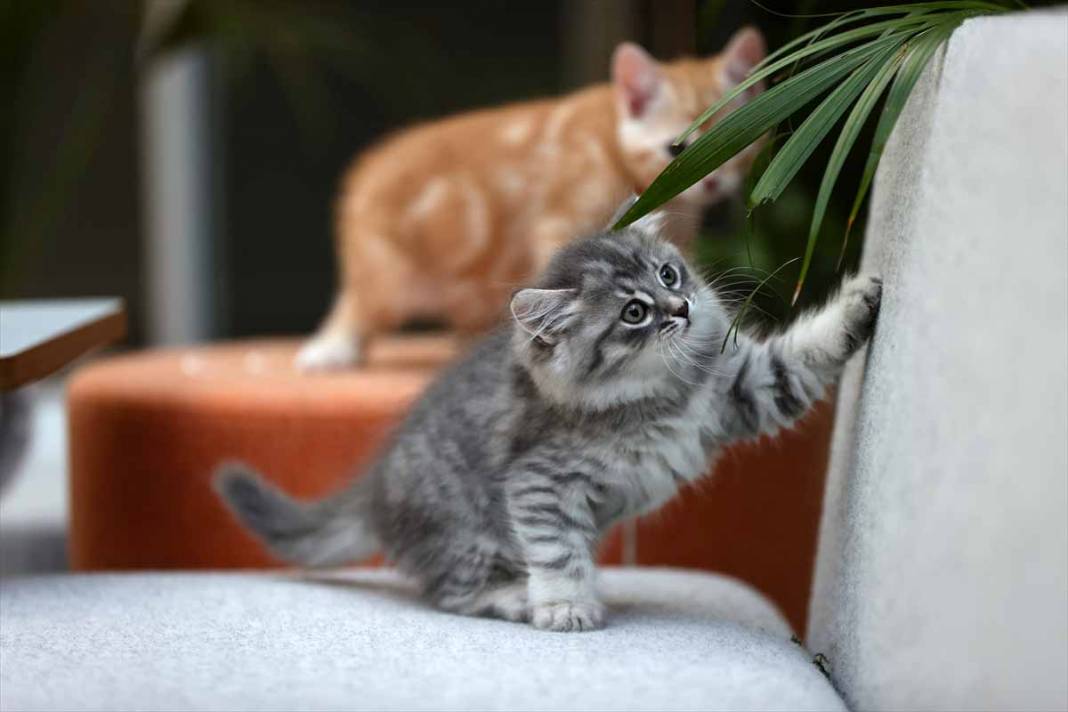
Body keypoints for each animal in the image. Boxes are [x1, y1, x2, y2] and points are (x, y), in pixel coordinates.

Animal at [212, 213, 880, 636]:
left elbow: (804, 354)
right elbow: (558, 552)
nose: (683, 307)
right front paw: (564, 607)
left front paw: (861, 300)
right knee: (453, 592)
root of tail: (373, 488)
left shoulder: (742, 390)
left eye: (668, 275)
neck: (663, 396)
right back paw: (517, 597)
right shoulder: (540, 482)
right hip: (467, 533)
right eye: (634, 313)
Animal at [299, 25, 768, 371]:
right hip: (388, 268)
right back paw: (332, 348)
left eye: (736, 144)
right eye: (676, 150)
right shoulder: (559, 221)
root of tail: (366, 171)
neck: (610, 141)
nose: (711, 183)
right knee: (361, 303)